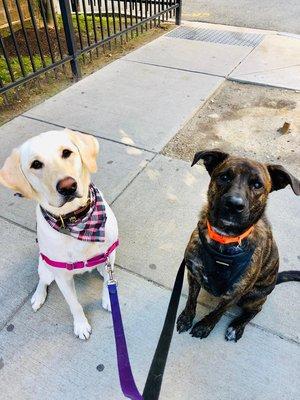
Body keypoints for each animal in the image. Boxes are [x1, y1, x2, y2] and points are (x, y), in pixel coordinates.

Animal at [0, 130, 118, 340]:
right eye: (36, 164)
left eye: (66, 152)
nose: (68, 186)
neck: (75, 220)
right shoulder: (62, 277)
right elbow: (74, 304)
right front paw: (81, 325)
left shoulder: (109, 255)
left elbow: (108, 281)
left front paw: (108, 299)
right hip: (45, 267)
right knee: (42, 280)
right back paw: (38, 296)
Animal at [177, 148, 298, 342]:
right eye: (224, 176)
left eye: (257, 184)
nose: (234, 204)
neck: (225, 239)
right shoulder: (193, 274)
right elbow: (191, 299)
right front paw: (186, 317)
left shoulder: (235, 293)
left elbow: (218, 312)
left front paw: (204, 326)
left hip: (253, 296)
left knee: (255, 310)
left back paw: (237, 326)